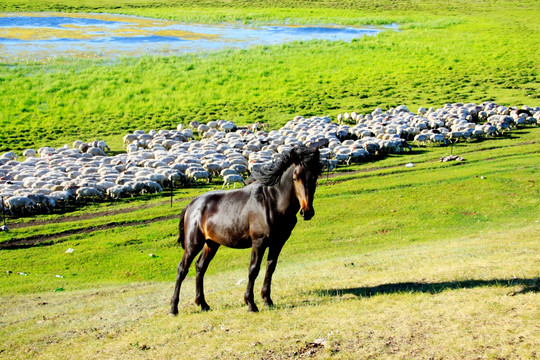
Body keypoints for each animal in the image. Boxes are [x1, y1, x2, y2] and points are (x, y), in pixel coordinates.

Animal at [170, 145, 320, 314]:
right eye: (295, 178)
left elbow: (270, 268)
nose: (306, 212)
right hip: (193, 244)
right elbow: (253, 270)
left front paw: (267, 300)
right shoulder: (259, 242)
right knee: (182, 269)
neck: (273, 202)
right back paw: (174, 308)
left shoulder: (278, 242)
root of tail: (191, 205)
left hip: (211, 243)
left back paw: (203, 304)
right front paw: (251, 304)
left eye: (314, 177)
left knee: (200, 267)